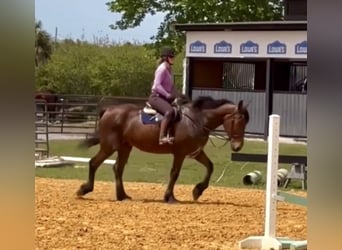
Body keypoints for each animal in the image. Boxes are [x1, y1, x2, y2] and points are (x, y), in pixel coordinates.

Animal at [77, 95, 248, 203]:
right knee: (94, 163)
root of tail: (108, 110)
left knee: (118, 168)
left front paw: (198, 191)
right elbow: (174, 174)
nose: (238, 146)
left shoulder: (195, 152)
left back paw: (122, 196)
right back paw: (84, 190)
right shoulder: (180, 153)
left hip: (125, 147)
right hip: (109, 147)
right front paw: (170, 197)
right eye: (238, 120)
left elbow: (210, 167)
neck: (197, 120)